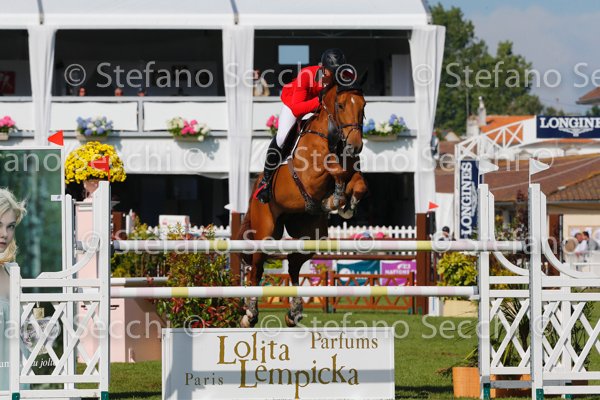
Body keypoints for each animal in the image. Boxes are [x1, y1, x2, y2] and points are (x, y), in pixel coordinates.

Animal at [236, 74, 368, 328]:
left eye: (363, 106)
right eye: (340, 105)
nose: (355, 146)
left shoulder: (351, 170)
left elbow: (357, 182)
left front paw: (347, 205)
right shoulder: (310, 176)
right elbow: (334, 170)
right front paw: (336, 199)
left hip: (311, 233)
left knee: (294, 262)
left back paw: (294, 312)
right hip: (266, 230)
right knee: (256, 268)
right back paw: (250, 314)